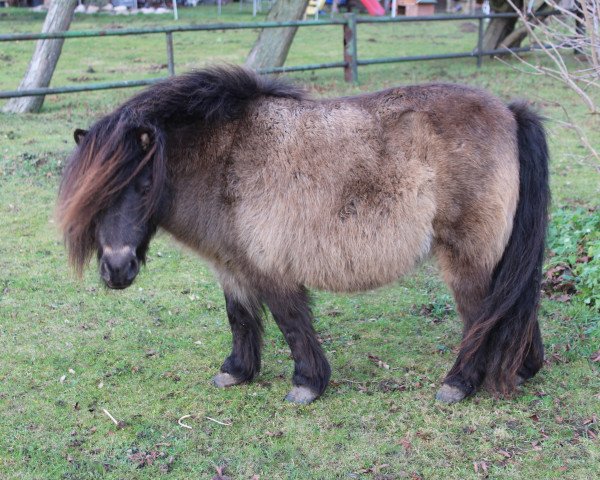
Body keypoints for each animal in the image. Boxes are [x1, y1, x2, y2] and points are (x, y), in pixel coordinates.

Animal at [57, 65, 548, 404]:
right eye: (92, 197)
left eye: (142, 186)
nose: (117, 269)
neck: (224, 159)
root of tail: (509, 113)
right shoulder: (232, 265)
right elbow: (240, 317)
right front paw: (237, 371)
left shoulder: (272, 267)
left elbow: (290, 322)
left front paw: (307, 385)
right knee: (511, 308)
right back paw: (524, 368)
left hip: (466, 258)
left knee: (480, 315)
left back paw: (458, 384)